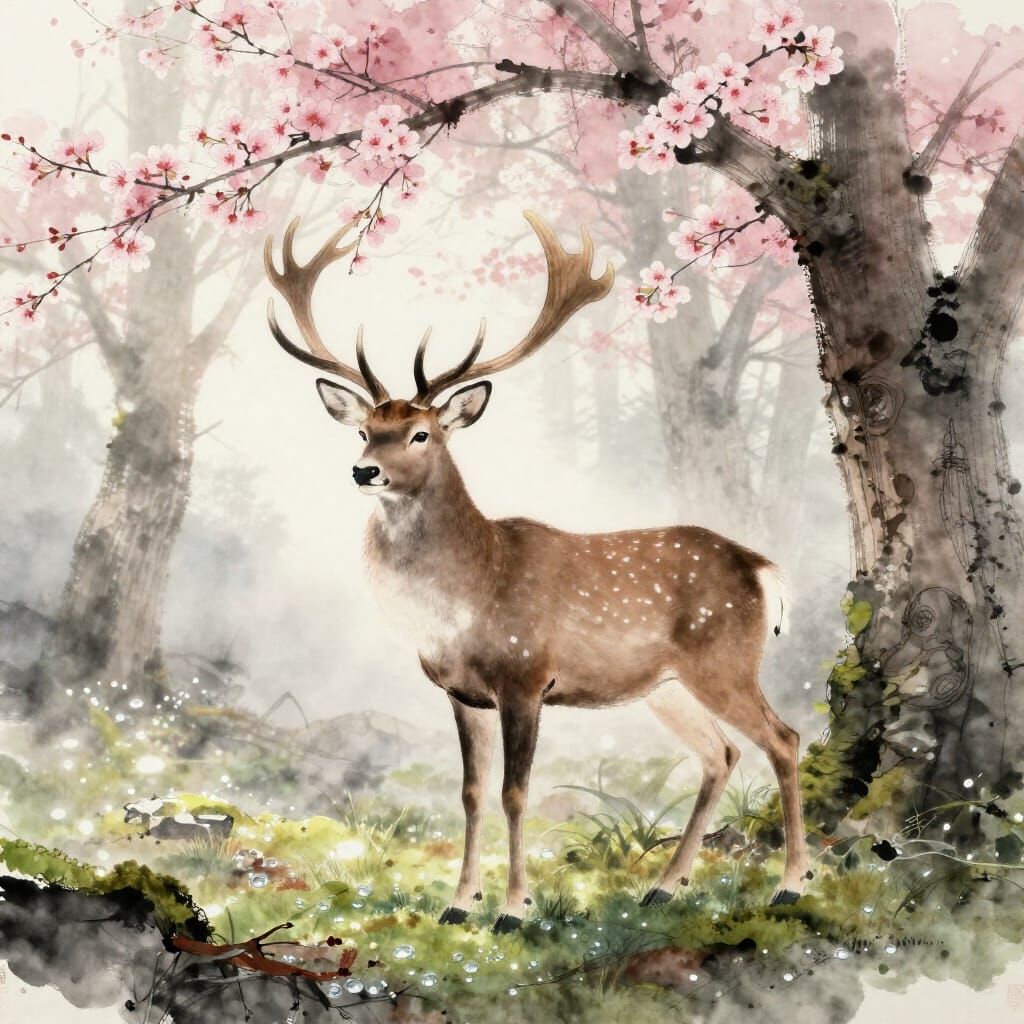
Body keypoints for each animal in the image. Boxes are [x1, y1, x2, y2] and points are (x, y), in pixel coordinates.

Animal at [263, 211, 810, 934]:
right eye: (364, 431)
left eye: (421, 434)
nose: (363, 471)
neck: (465, 597)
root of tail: (764, 569)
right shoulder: (462, 694)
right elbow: (470, 792)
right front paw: (458, 903)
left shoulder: (525, 676)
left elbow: (515, 792)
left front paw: (512, 909)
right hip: (665, 686)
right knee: (720, 755)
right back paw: (664, 888)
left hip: (724, 660)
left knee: (785, 738)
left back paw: (791, 885)